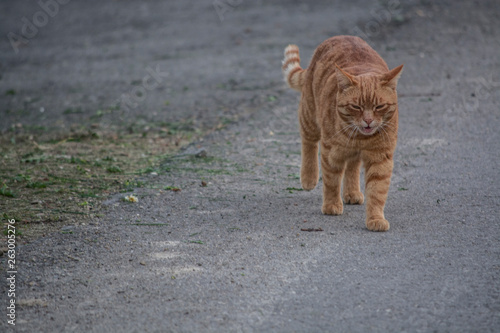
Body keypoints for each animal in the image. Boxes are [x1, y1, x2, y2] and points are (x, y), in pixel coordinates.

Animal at [284, 35, 404, 230]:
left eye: (379, 106)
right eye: (356, 106)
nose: (368, 120)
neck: (361, 138)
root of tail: (340, 36)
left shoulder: (380, 157)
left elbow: (377, 191)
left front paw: (375, 218)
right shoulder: (331, 153)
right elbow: (331, 181)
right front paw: (332, 205)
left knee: (353, 166)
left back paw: (352, 192)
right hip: (309, 115)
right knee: (308, 142)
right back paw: (309, 177)